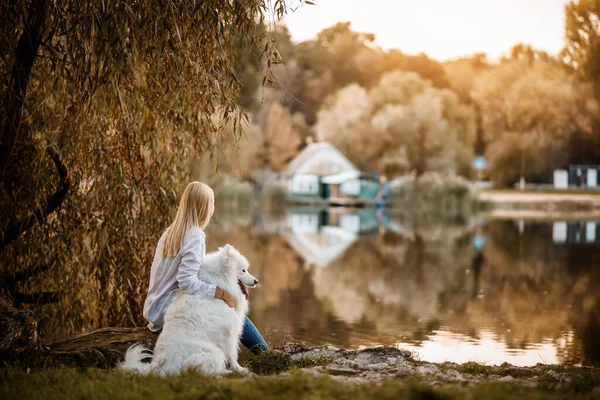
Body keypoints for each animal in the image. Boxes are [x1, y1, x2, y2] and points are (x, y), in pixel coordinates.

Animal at [119, 244, 255, 376]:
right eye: (243, 270)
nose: (256, 281)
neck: (219, 280)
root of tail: (159, 364)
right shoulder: (230, 331)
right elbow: (232, 354)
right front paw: (239, 369)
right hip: (213, 352)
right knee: (201, 372)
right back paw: (225, 372)